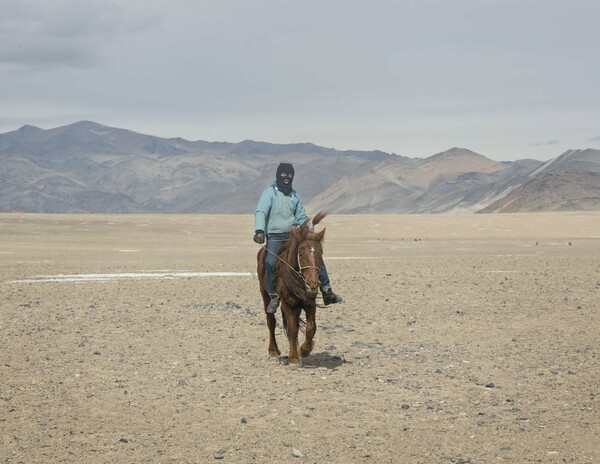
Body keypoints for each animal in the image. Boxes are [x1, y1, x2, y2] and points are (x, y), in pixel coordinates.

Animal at [254, 211, 328, 366]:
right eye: (300, 254)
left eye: (320, 254)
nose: (312, 284)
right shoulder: (287, 303)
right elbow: (293, 329)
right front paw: (294, 358)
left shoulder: (308, 303)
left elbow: (311, 327)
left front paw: (305, 350)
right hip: (265, 294)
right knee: (271, 322)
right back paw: (273, 352)